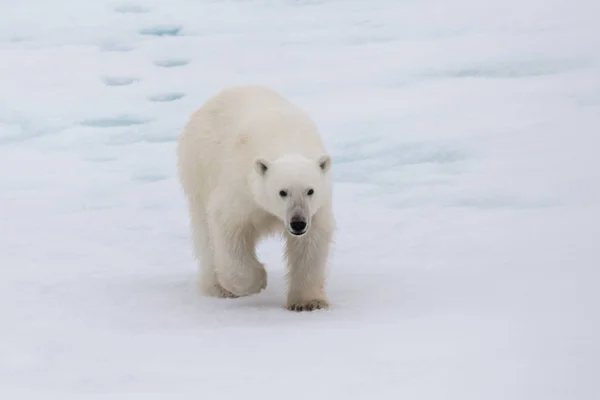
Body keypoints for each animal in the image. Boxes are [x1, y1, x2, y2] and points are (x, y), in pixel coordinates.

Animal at [178, 85, 336, 312]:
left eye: (310, 190)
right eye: (282, 192)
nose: (297, 223)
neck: (285, 142)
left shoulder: (316, 208)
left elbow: (311, 243)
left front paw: (309, 302)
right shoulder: (240, 190)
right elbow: (228, 229)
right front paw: (256, 280)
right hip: (198, 168)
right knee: (204, 232)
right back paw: (218, 287)